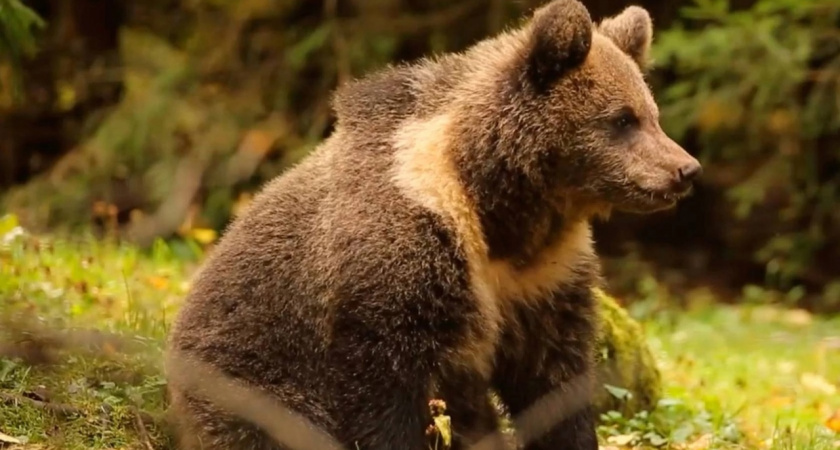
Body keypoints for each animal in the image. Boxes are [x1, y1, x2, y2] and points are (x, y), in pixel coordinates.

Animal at [164, 0, 704, 450]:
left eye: (652, 114)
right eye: (622, 119)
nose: (686, 169)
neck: (499, 210)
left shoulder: (541, 282)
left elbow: (553, 381)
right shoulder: (395, 271)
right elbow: (383, 393)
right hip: (252, 384)